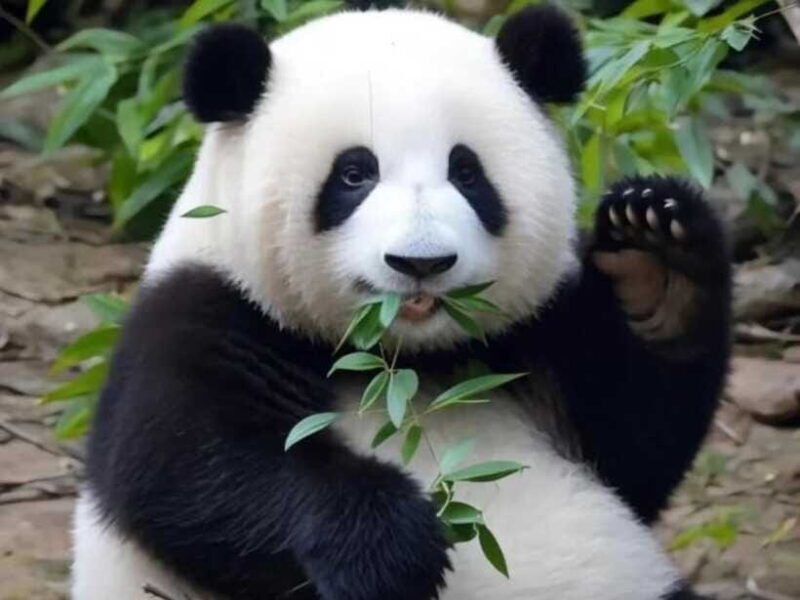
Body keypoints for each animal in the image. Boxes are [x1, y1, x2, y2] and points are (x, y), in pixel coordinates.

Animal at [72, 6, 732, 600]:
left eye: (467, 172)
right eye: (353, 174)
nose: (421, 262)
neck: (402, 364)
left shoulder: (534, 332)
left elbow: (635, 448)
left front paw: (653, 269)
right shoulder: (210, 308)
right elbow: (184, 468)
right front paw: (388, 545)